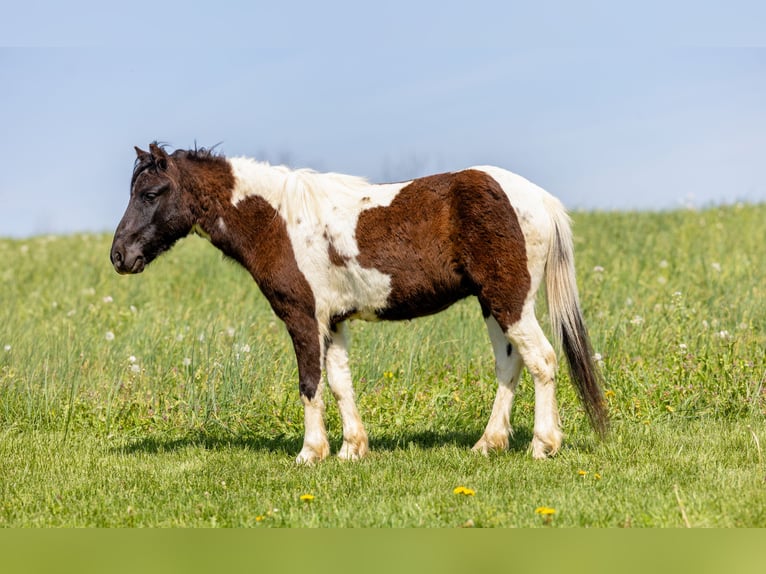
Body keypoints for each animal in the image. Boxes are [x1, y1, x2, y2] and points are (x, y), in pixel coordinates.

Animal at [111, 142, 608, 464]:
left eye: (150, 193)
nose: (120, 256)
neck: (278, 220)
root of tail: (538, 198)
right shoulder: (333, 322)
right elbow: (339, 383)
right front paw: (352, 449)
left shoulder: (303, 318)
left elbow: (310, 383)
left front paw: (310, 453)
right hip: (493, 304)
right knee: (510, 365)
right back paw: (489, 443)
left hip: (510, 300)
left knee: (543, 360)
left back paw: (543, 444)